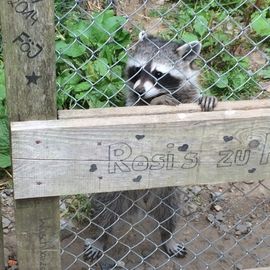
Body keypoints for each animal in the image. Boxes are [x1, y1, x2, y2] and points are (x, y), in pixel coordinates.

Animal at [84, 32, 217, 262]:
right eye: (137, 69)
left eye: (158, 73)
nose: (139, 89)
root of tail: (142, 199)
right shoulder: (132, 104)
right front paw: (157, 102)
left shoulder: (187, 92)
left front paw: (205, 98)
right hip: (115, 191)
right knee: (105, 213)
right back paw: (102, 236)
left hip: (168, 192)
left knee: (170, 213)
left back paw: (168, 236)